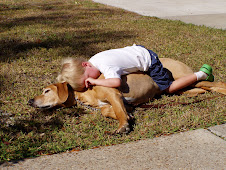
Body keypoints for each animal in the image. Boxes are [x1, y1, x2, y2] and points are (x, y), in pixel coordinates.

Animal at [28, 57, 226, 133]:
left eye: (47, 91)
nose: (30, 100)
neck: (84, 94)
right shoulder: (119, 102)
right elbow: (109, 110)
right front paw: (126, 116)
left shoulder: (113, 93)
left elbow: (117, 110)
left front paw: (123, 124)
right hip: (177, 88)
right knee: (200, 89)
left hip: (181, 79)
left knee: (216, 83)